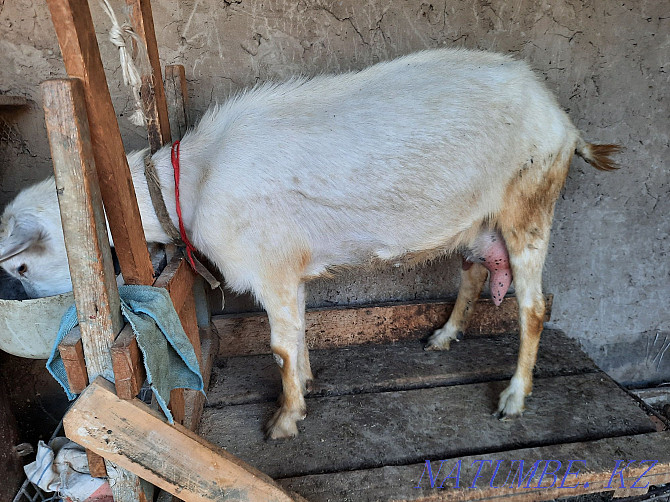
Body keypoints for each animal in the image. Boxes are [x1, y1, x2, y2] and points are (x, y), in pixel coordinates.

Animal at [0, 48, 620, 440]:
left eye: (23, 267)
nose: (27, 306)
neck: (196, 178)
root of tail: (563, 122)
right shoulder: (288, 273)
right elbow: (296, 335)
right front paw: (304, 384)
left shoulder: (269, 267)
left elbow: (277, 346)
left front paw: (283, 421)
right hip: (478, 220)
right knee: (473, 272)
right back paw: (443, 337)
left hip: (529, 203)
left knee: (534, 307)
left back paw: (514, 397)